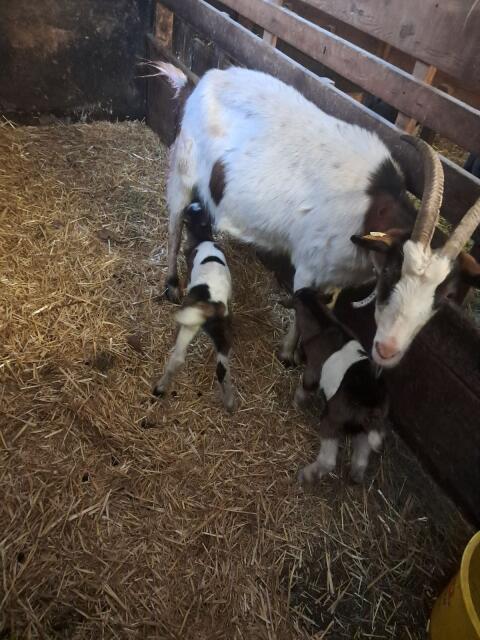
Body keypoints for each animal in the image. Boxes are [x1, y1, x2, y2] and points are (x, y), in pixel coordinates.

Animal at [152, 201, 235, 412]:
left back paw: (159, 388)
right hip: (222, 335)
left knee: (178, 358)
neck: (205, 237)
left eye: (190, 212)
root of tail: (214, 305)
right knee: (222, 369)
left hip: (190, 323)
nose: (191, 203)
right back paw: (229, 403)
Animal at [155, 63, 480, 368]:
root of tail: (203, 81)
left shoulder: (336, 274)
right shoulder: (309, 266)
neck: (370, 206)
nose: (388, 350)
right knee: (174, 222)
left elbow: (327, 305)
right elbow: (301, 309)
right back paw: (171, 284)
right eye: (391, 271)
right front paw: (288, 355)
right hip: (184, 167)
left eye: (446, 296)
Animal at [294, 288, 388, 484]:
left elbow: (307, 385)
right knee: (364, 447)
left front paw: (296, 403)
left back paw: (306, 475)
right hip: (365, 426)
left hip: (333, 420)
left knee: (328, 460)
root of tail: (372, 401)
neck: (324, 324)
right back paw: (356, 475)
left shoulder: (313, 370)